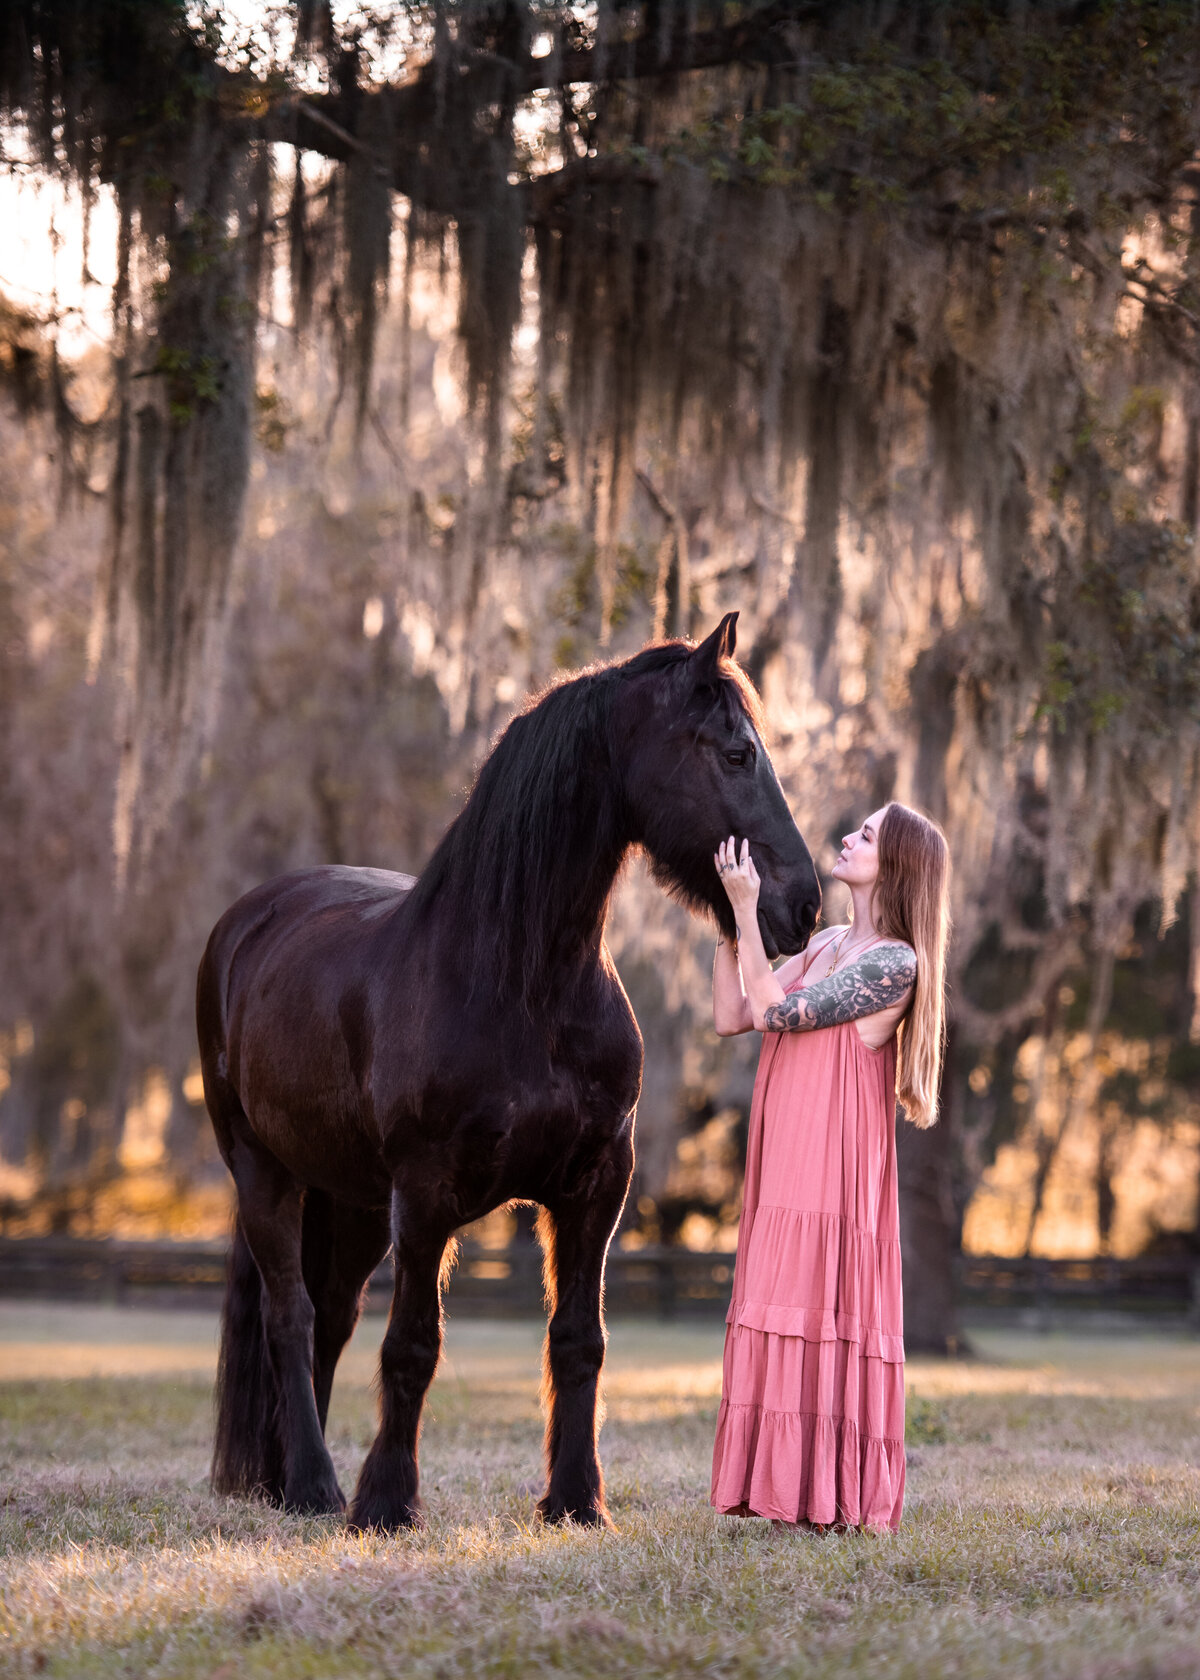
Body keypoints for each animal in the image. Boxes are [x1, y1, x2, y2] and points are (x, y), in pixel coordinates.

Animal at [200, 611, 816, 1532]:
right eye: (737, 752)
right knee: (288, 1313)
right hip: (264, 1170)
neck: (523, 984)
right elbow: (413, 1344)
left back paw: (287, 1483)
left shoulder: (596, 1185)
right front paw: (386, 1502)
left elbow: (579, 1340)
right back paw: (313, 1485)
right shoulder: (425, 1194)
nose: (804, 903)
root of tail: (247, 920)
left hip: (350, 1199)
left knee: (330, 1317)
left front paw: (576, 1500)